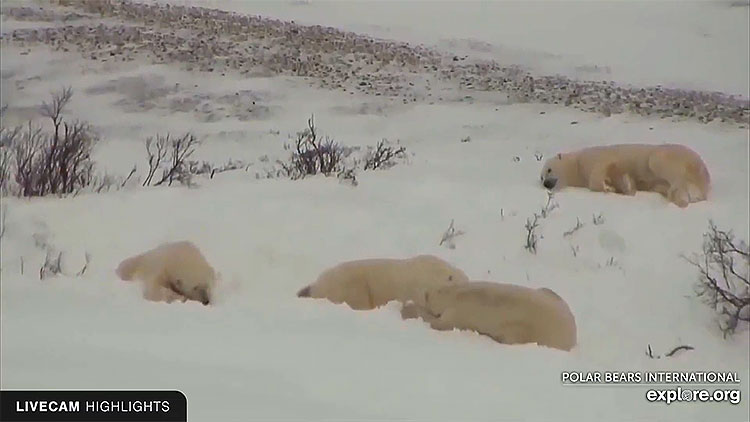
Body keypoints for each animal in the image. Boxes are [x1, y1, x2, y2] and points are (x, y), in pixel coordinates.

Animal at [400, 281, 577, 351]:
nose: (425, 292)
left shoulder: (459, 312)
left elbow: (441, 323)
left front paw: (410, 309)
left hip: (536, 330)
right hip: (550, 295)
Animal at [540, 143, 711, 208]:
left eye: (549, 170)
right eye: (541, 178)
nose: (546, 183)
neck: (576, 164)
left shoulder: (594, 157)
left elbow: (600, 170)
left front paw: (607, 187)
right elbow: (620, 176)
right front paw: (626, 187)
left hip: (669, 155)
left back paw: (677, 197)